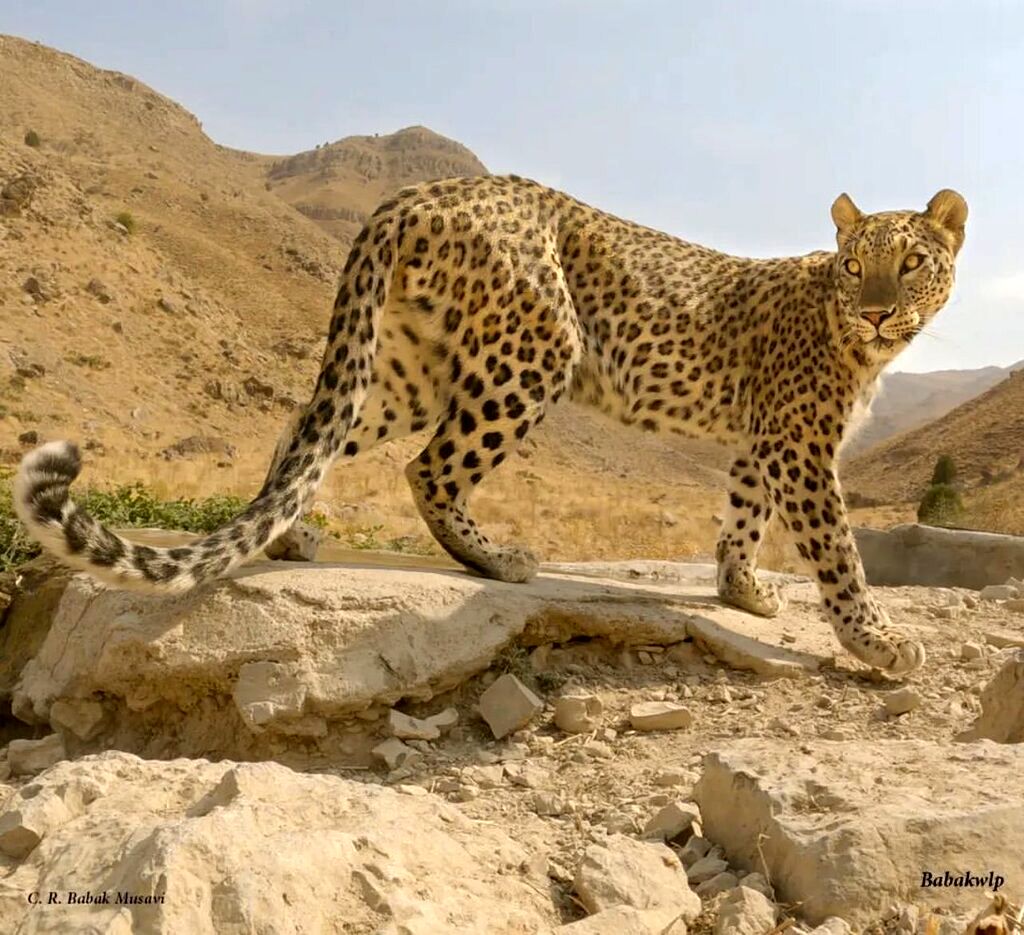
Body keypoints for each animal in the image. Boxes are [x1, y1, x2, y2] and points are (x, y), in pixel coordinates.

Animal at [12, 175, 962, 671]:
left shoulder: (763, 441)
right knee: (429, 468)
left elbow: (742, 517)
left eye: (913, 263)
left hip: (409, 368)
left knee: (308, 430)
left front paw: (744, 590)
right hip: (532, 352)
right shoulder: (799, 442)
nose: (878, 312)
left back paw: (292, 534)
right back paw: (497, 558)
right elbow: (836, 547)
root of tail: (414, 193)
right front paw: (878, 639)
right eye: (855, 265)